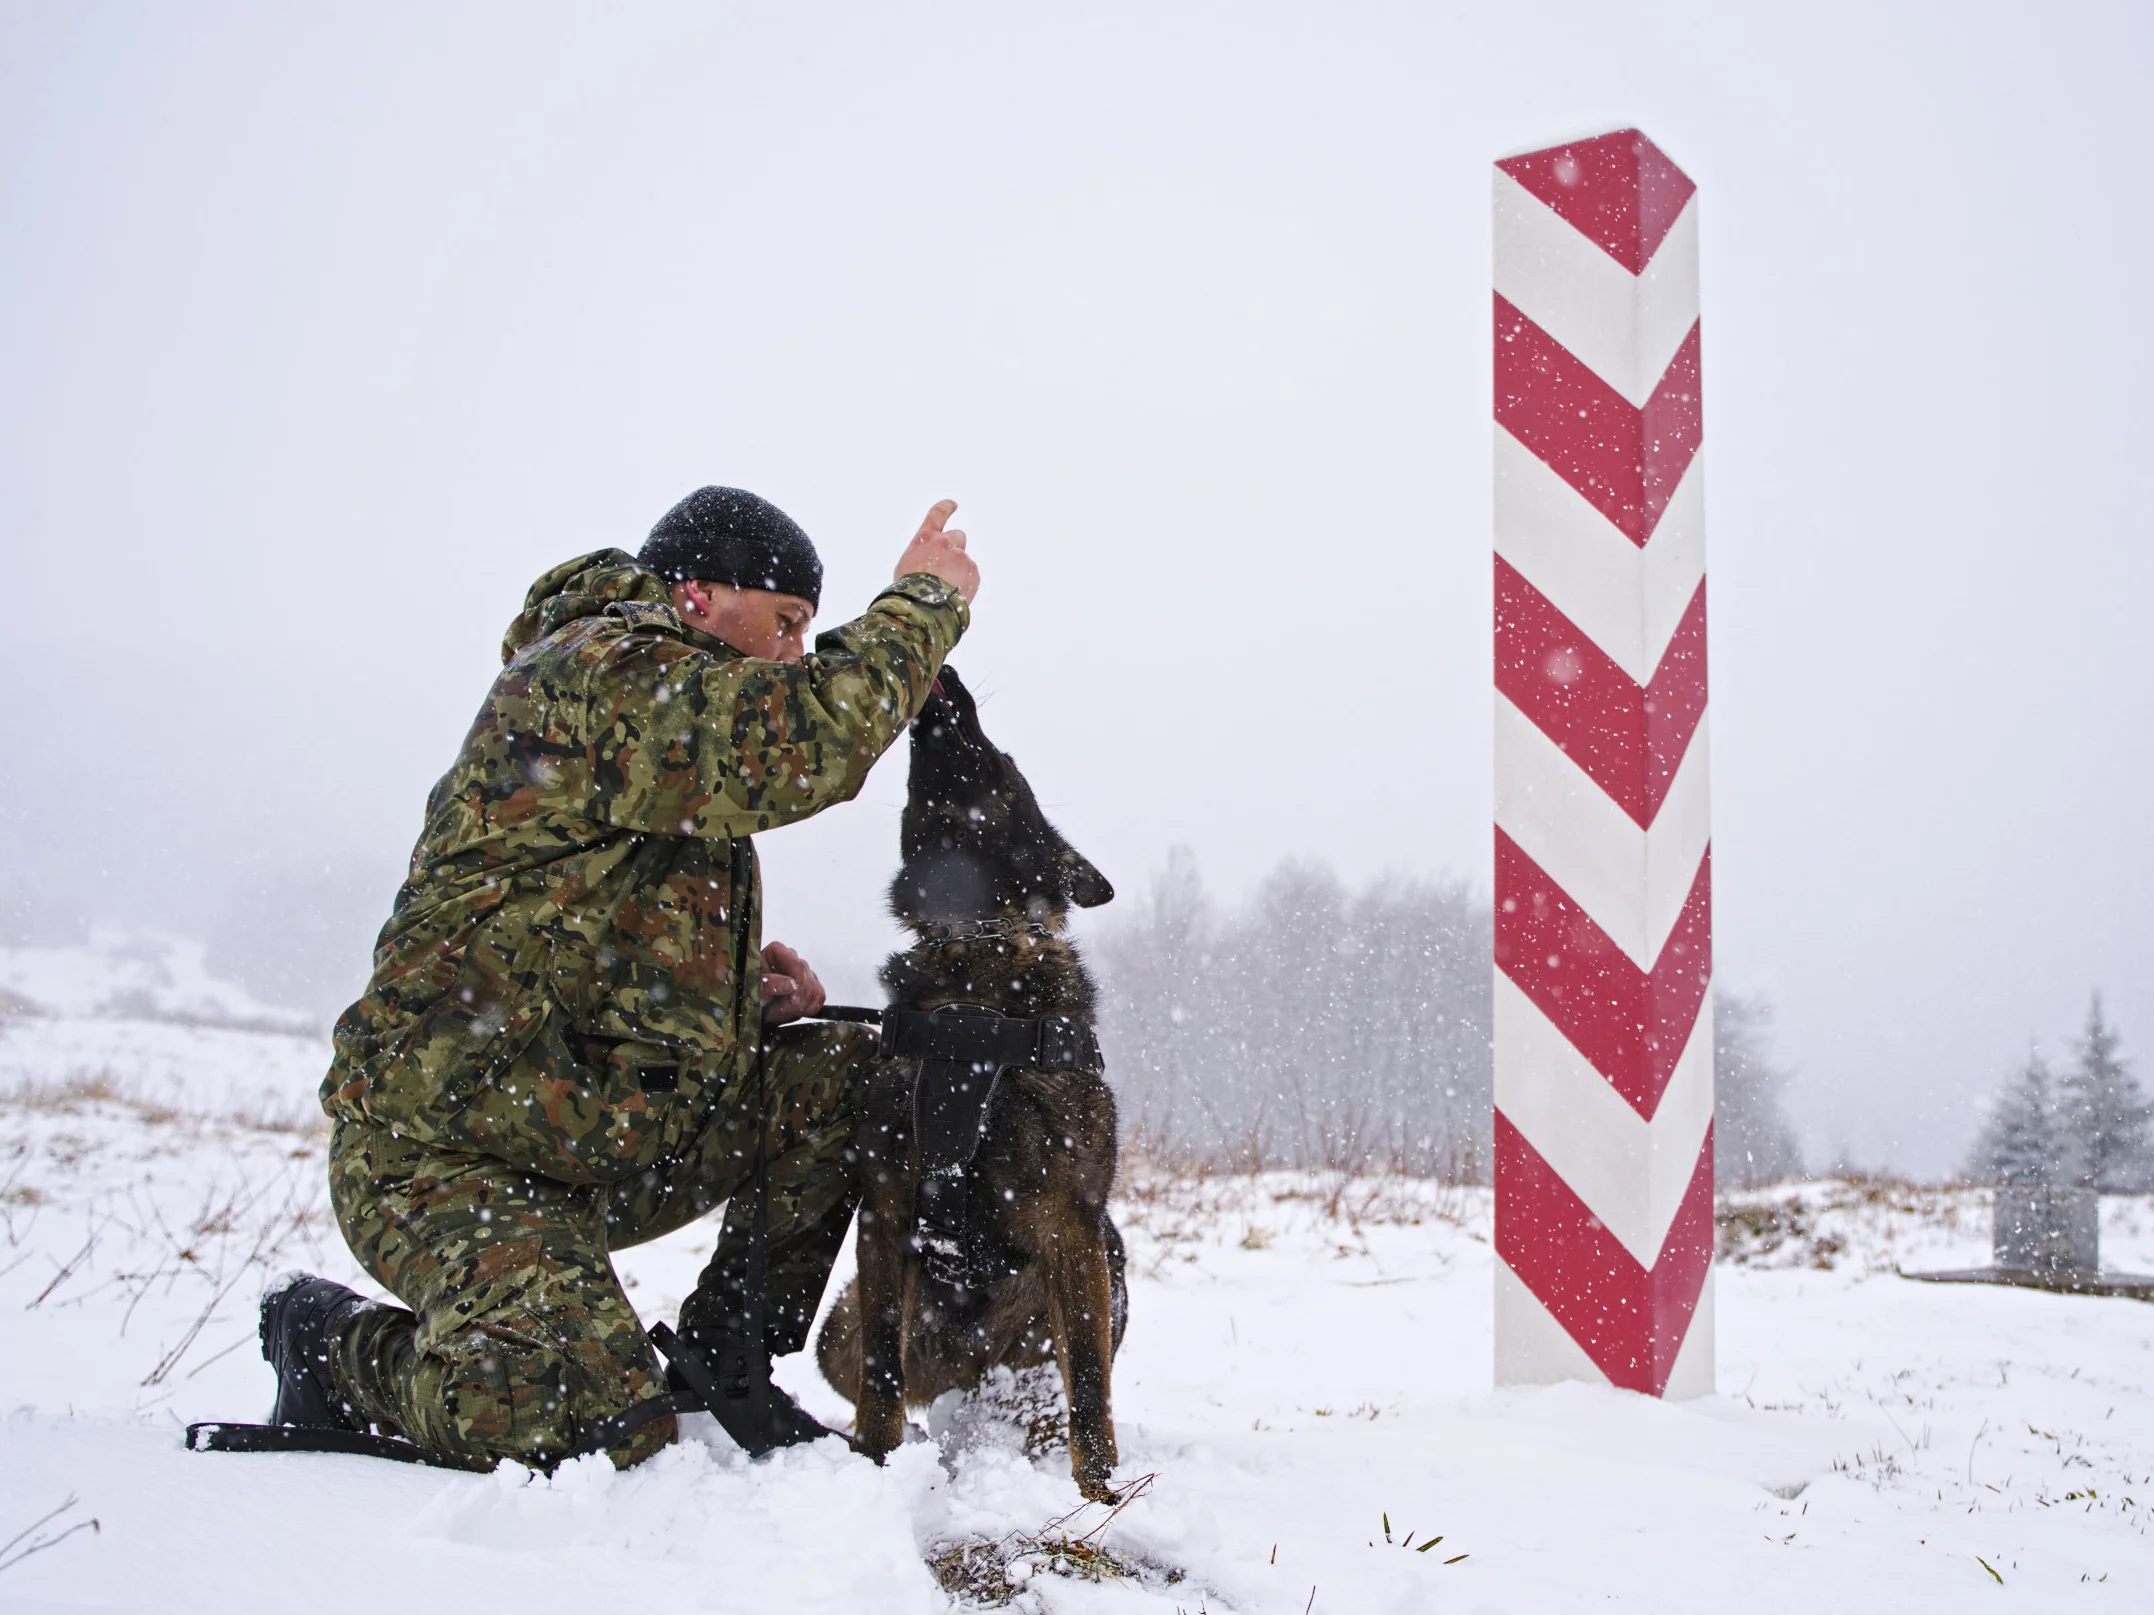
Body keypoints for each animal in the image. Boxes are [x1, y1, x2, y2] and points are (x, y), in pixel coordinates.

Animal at [809, 667, 1128, 1507]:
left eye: (1002, 762)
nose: (946, 672)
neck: (974, 956)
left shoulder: (1073, 1221)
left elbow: (1090, 1385)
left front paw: (1101, 1497)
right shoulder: (885, 1206)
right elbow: (882, 1372)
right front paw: (873, 1461)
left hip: (1105, 1263)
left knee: (1051, 1393)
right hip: (838, 1324)